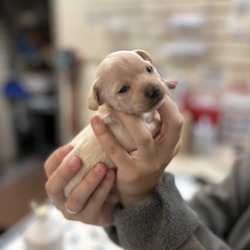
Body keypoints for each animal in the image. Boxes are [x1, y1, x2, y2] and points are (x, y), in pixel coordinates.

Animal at [63, 49, 176, 197]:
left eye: (149, 69)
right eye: (123, 89)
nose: (154, 90)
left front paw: (168, 82)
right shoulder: (133, 135)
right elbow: (153, 123)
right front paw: (158, 119)